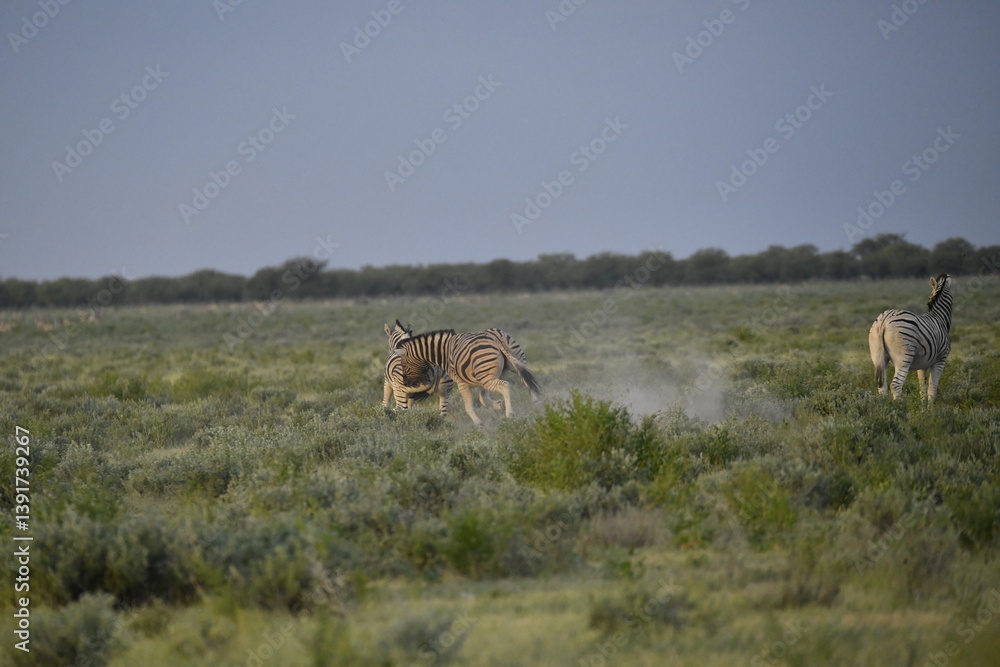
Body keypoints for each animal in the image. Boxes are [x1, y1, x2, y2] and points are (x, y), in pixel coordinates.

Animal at [393, 327, 541, 426]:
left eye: (404, 365)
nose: (406, 383)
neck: (442, 352)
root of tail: (495, 338)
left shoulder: (461, 382)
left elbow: (468, 406)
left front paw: (479, 424)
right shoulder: (480, 380)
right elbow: (483, 400)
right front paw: (500, 405)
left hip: (488, 377)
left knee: (505, 386)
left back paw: (510, 414)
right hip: (514, 363)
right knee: (527, 382)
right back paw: (536, 405)